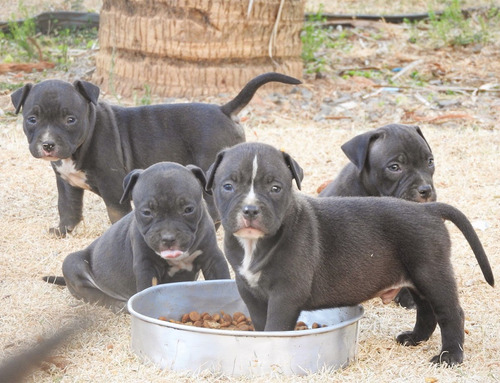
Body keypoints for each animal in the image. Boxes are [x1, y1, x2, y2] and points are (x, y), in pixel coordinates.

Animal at [11, 70, 300, 236]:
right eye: (32, 119)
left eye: (70, 119)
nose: (48, 144)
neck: (87, 135)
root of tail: (224, 109)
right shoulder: (66, 183)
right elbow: (68, 208)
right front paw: (62, 232)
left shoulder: (114, 189)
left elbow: (116, 216)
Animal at [45, 162, 230, 312]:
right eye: (146, 212)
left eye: (188, 209)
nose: (168, 238)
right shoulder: (146, 267)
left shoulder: (213, 258)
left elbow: (222, 280)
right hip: (73, 264)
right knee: (94, 294)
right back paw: (117, 305)